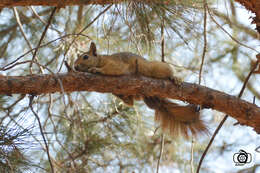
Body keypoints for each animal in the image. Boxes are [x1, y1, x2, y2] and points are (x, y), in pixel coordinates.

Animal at [74, 42, 208, 138]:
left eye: (85, 57)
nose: (74, 67)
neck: (101, 59)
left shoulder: (115, 63)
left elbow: (113, 69)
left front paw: (96, 70)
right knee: (131, 102)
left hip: (154, 68)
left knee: (167, 72)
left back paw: (175, 78)